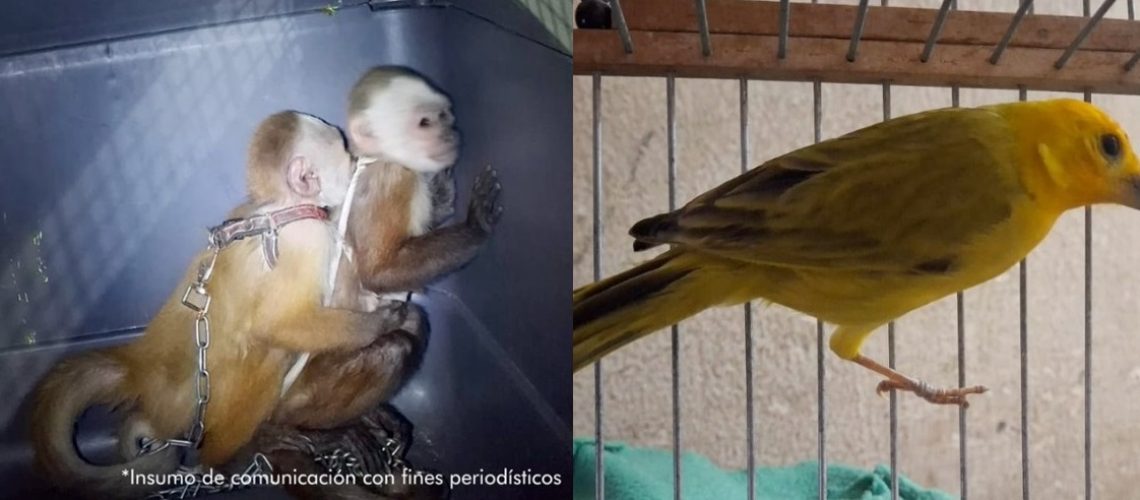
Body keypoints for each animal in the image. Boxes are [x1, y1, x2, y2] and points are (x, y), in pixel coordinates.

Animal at [29, 111, 416, 499]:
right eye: (344, 153)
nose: (355, 162)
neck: (278, 211)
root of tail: (144, 368)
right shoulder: (309, 239)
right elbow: (277, 325)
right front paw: (383, 321)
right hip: (209, 404)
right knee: (273, 351)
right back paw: (240, 451)